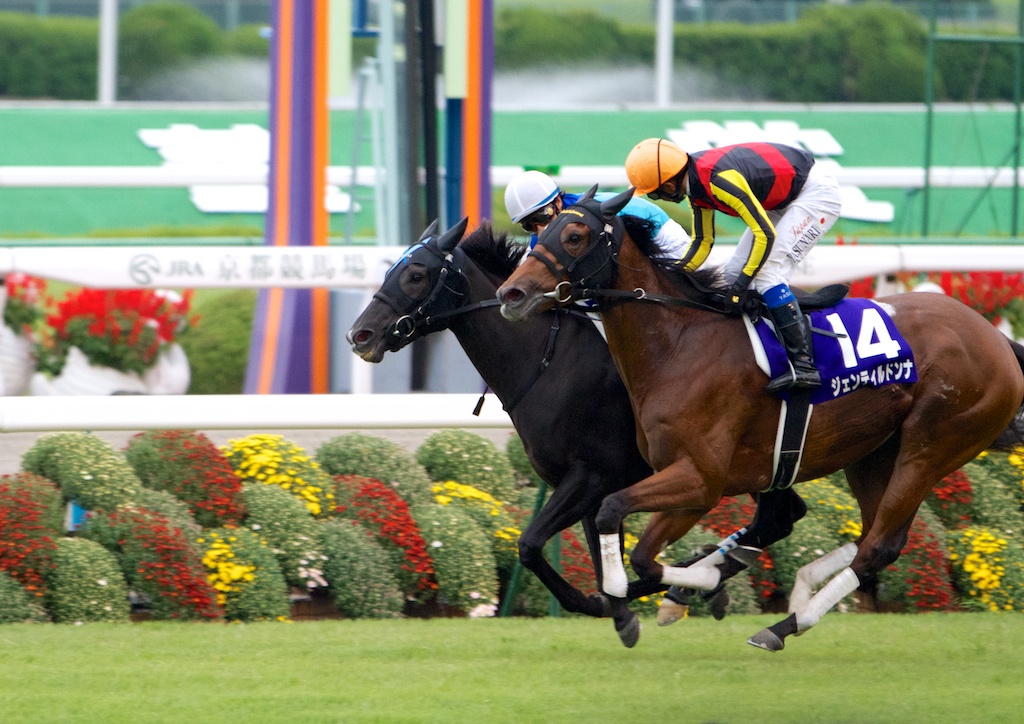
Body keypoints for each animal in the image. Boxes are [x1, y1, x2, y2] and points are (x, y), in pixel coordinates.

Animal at [346, 217, 809, 646]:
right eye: (391, 271)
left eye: (416, 274)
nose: (359, 335)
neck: (547, 362)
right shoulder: (592, 487)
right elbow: (601, 560)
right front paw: (622, 610)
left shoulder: (590, 476)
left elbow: (533, 545)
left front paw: (607, 605)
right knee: (781, 517)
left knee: (778, 517)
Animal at [496, 187, 1024, 651]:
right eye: (538, 235)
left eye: (574, 235)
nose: (511, 293)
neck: (678, 344)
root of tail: (996, 339)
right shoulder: (677, 480)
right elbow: (632, 548)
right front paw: (681, 587)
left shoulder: (699, 480)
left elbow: (627, 537)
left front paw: (697, 582)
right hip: (874, 452)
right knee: (870, 536)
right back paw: (798, 593)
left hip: (932, 444)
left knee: (880, 544)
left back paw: (784, 624)